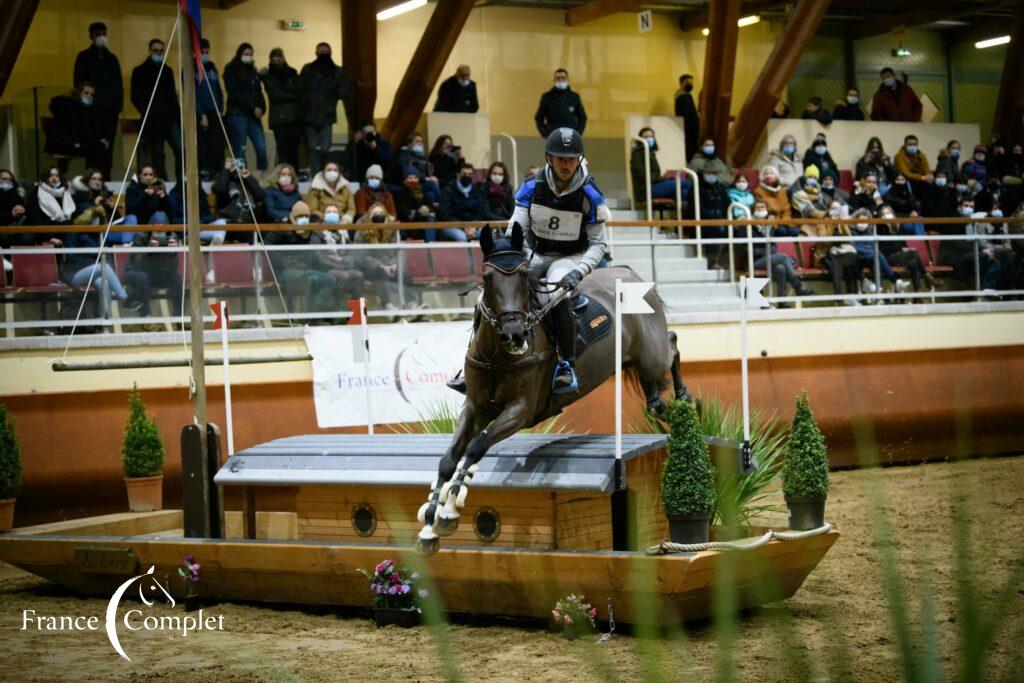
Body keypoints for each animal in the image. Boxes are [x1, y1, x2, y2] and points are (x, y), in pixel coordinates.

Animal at [415, 224, 688, 557]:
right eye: (487, 277)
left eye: (523, 277)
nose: (515, 335)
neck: (496, 355)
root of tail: (630, 274)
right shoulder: (475, 407)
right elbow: (448, 458)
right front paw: (429, 524)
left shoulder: (521, 410)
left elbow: (476, 446)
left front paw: (450, 510)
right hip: (635, 359)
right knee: (656, 371)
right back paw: (656, 401)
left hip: (652, 354)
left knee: (672, 344)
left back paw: (685, 399)